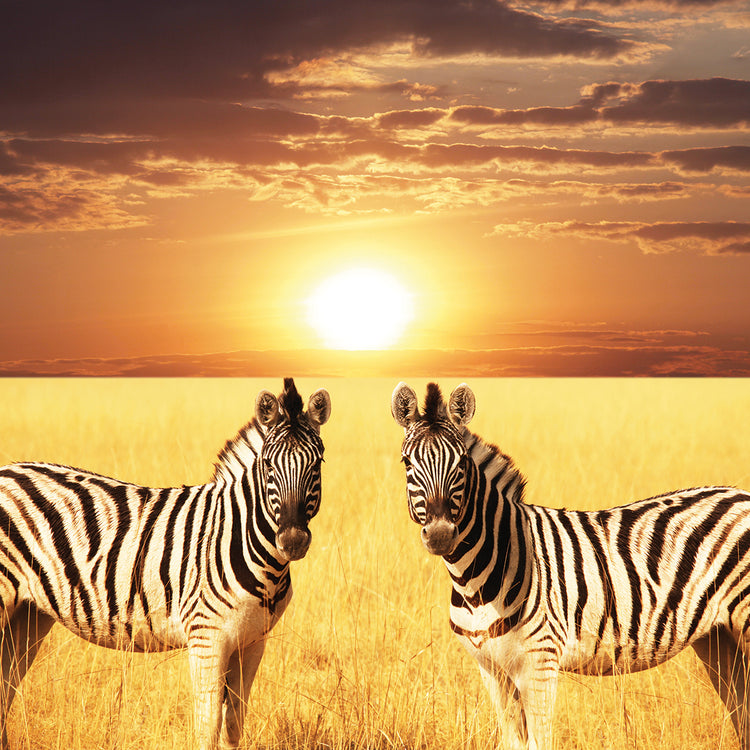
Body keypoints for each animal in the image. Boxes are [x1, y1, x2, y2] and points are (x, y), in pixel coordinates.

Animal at [0, 377, 331, 750]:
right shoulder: (207, 638)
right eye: (268, 466)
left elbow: (233, 725)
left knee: (4, 687)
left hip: (29, 614)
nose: (293, 540)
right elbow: (207, 725)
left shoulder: (253, 642)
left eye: (317, 464)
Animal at [392, 381, 750, 750]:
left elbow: (540, 742)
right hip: (717, 639)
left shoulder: (539, 663)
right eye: (406, 462)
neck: (475, 582)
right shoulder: (491, 669)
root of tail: (740, 495)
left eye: (461, 462)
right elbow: (512, 742)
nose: (439, 535)